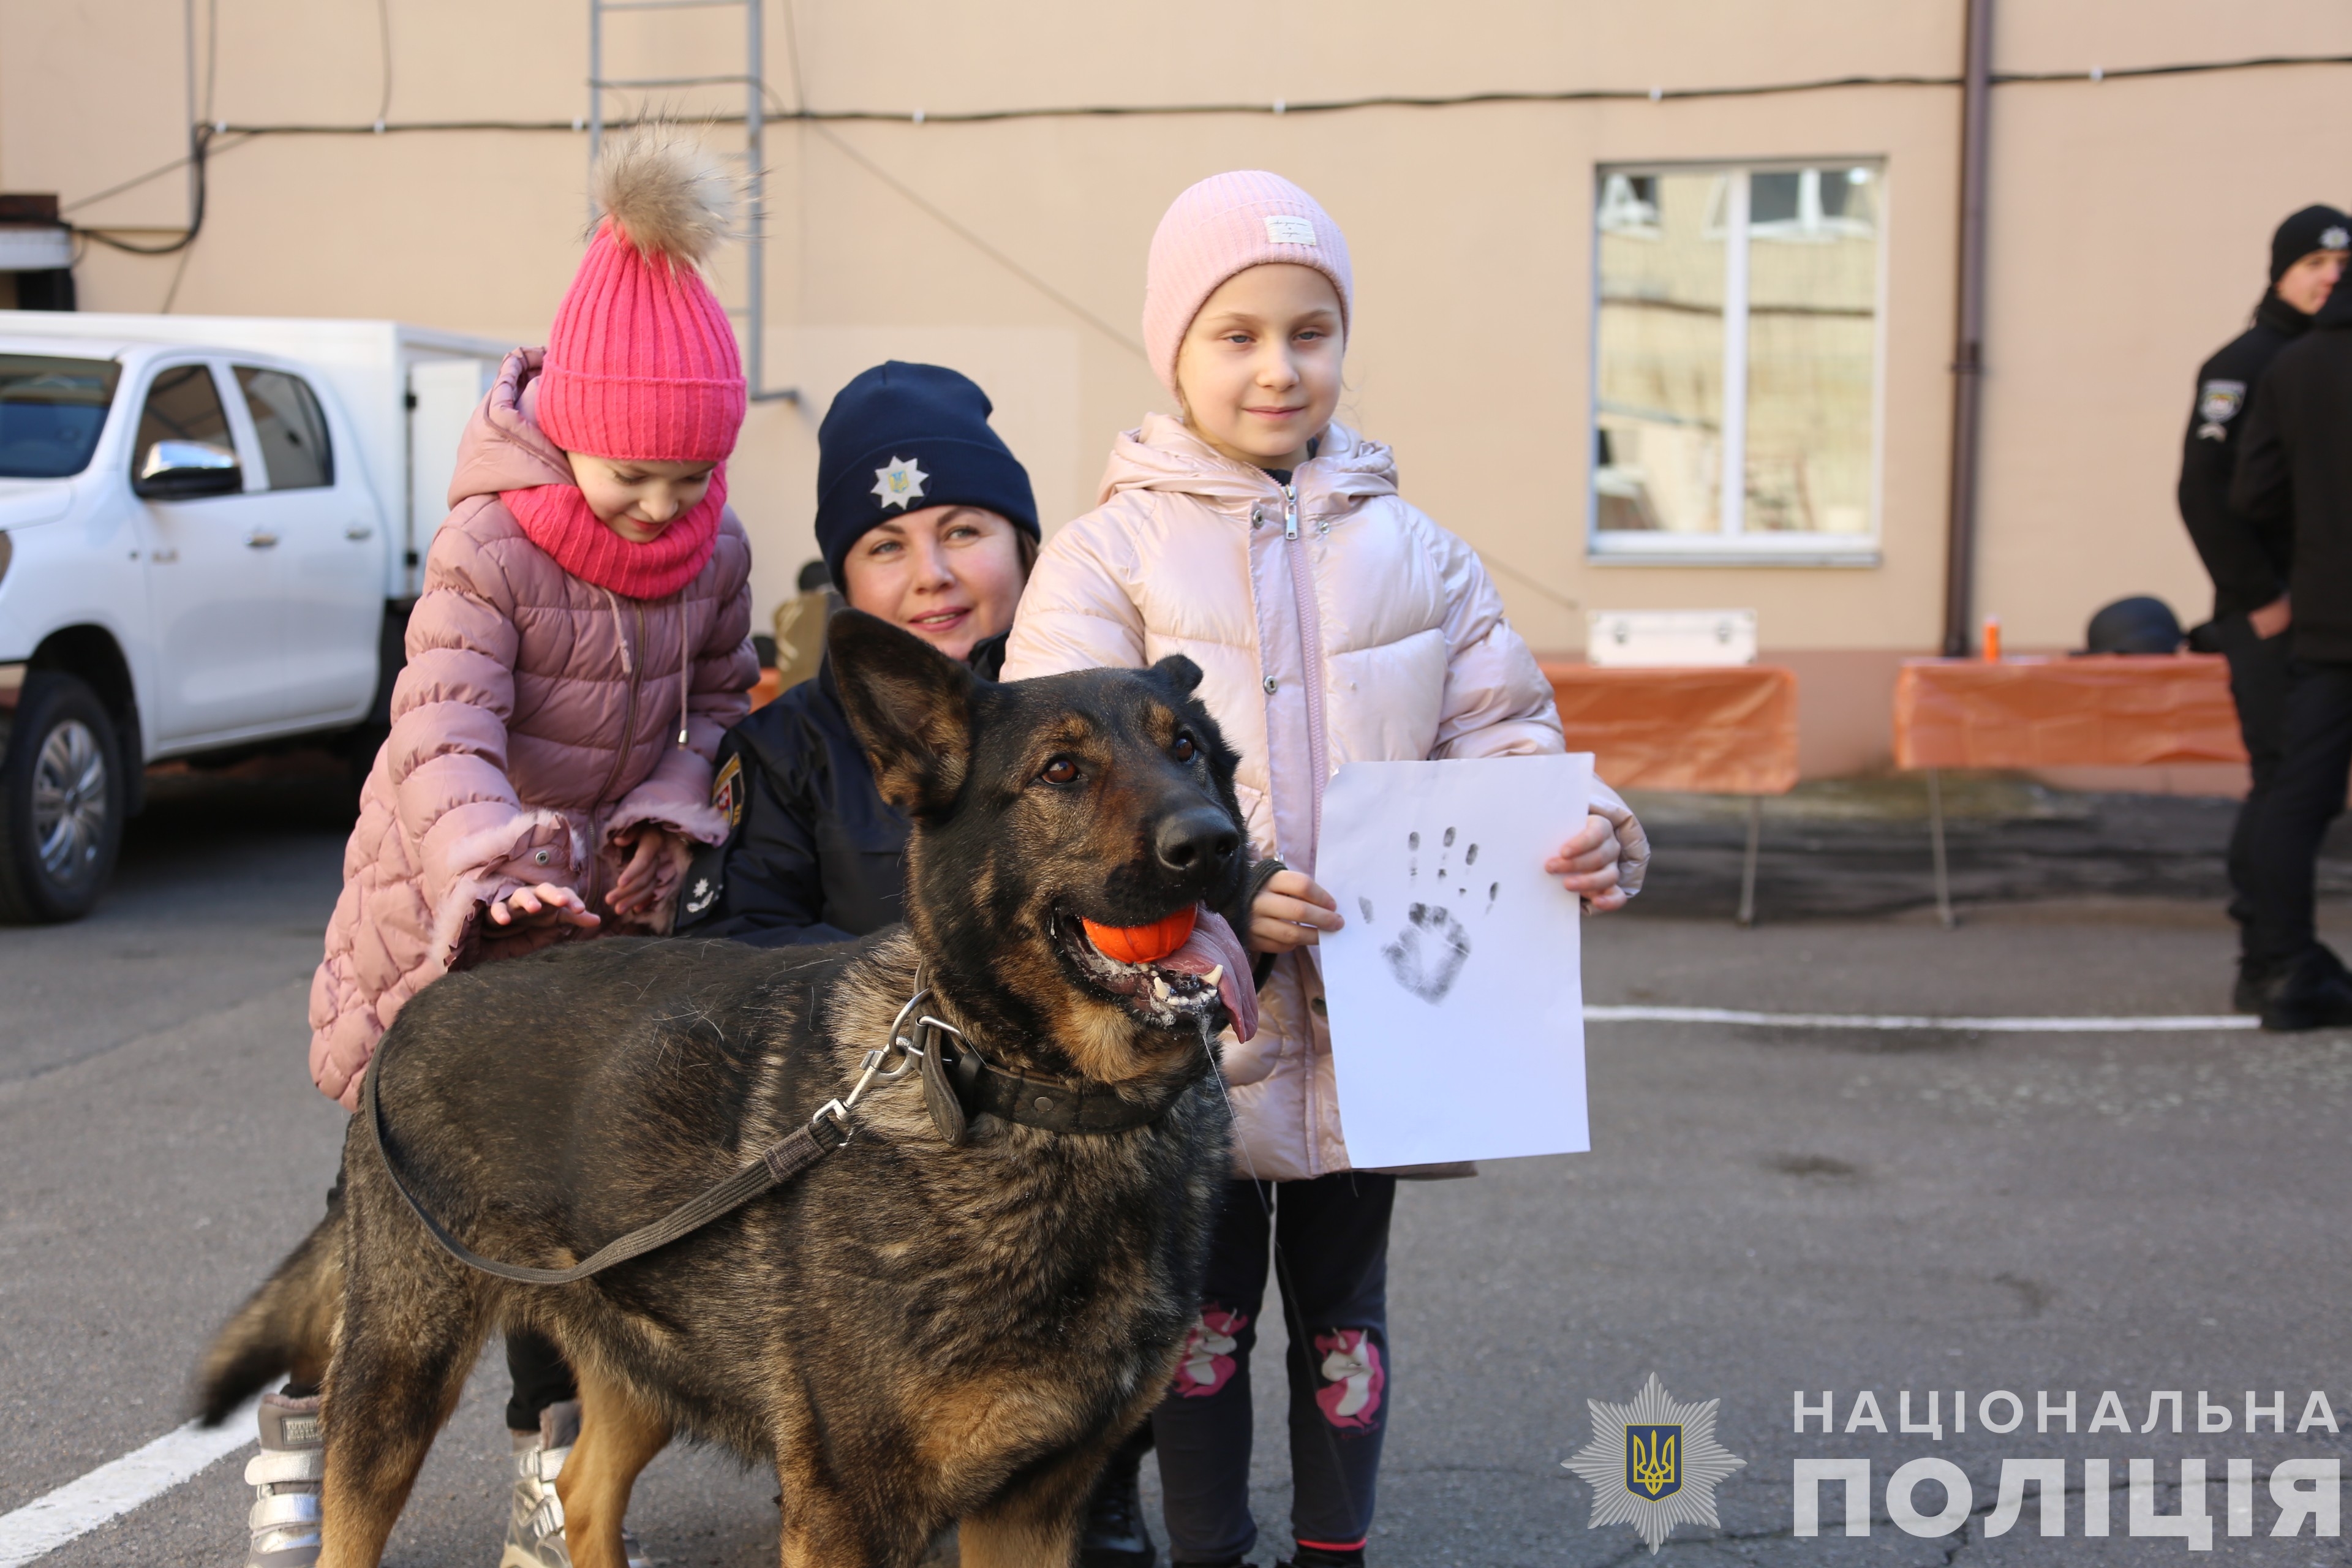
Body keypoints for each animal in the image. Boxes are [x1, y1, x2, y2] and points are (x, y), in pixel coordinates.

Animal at [202, 611, 1270, 1568]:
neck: (1034, 1102)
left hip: (648, 1357)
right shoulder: (850, 1515)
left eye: (1189, 753)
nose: (1213, 844)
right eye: (1060, 773)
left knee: (583, 1491)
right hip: (398, 1377)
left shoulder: (1033, 1512)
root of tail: (427, 997)